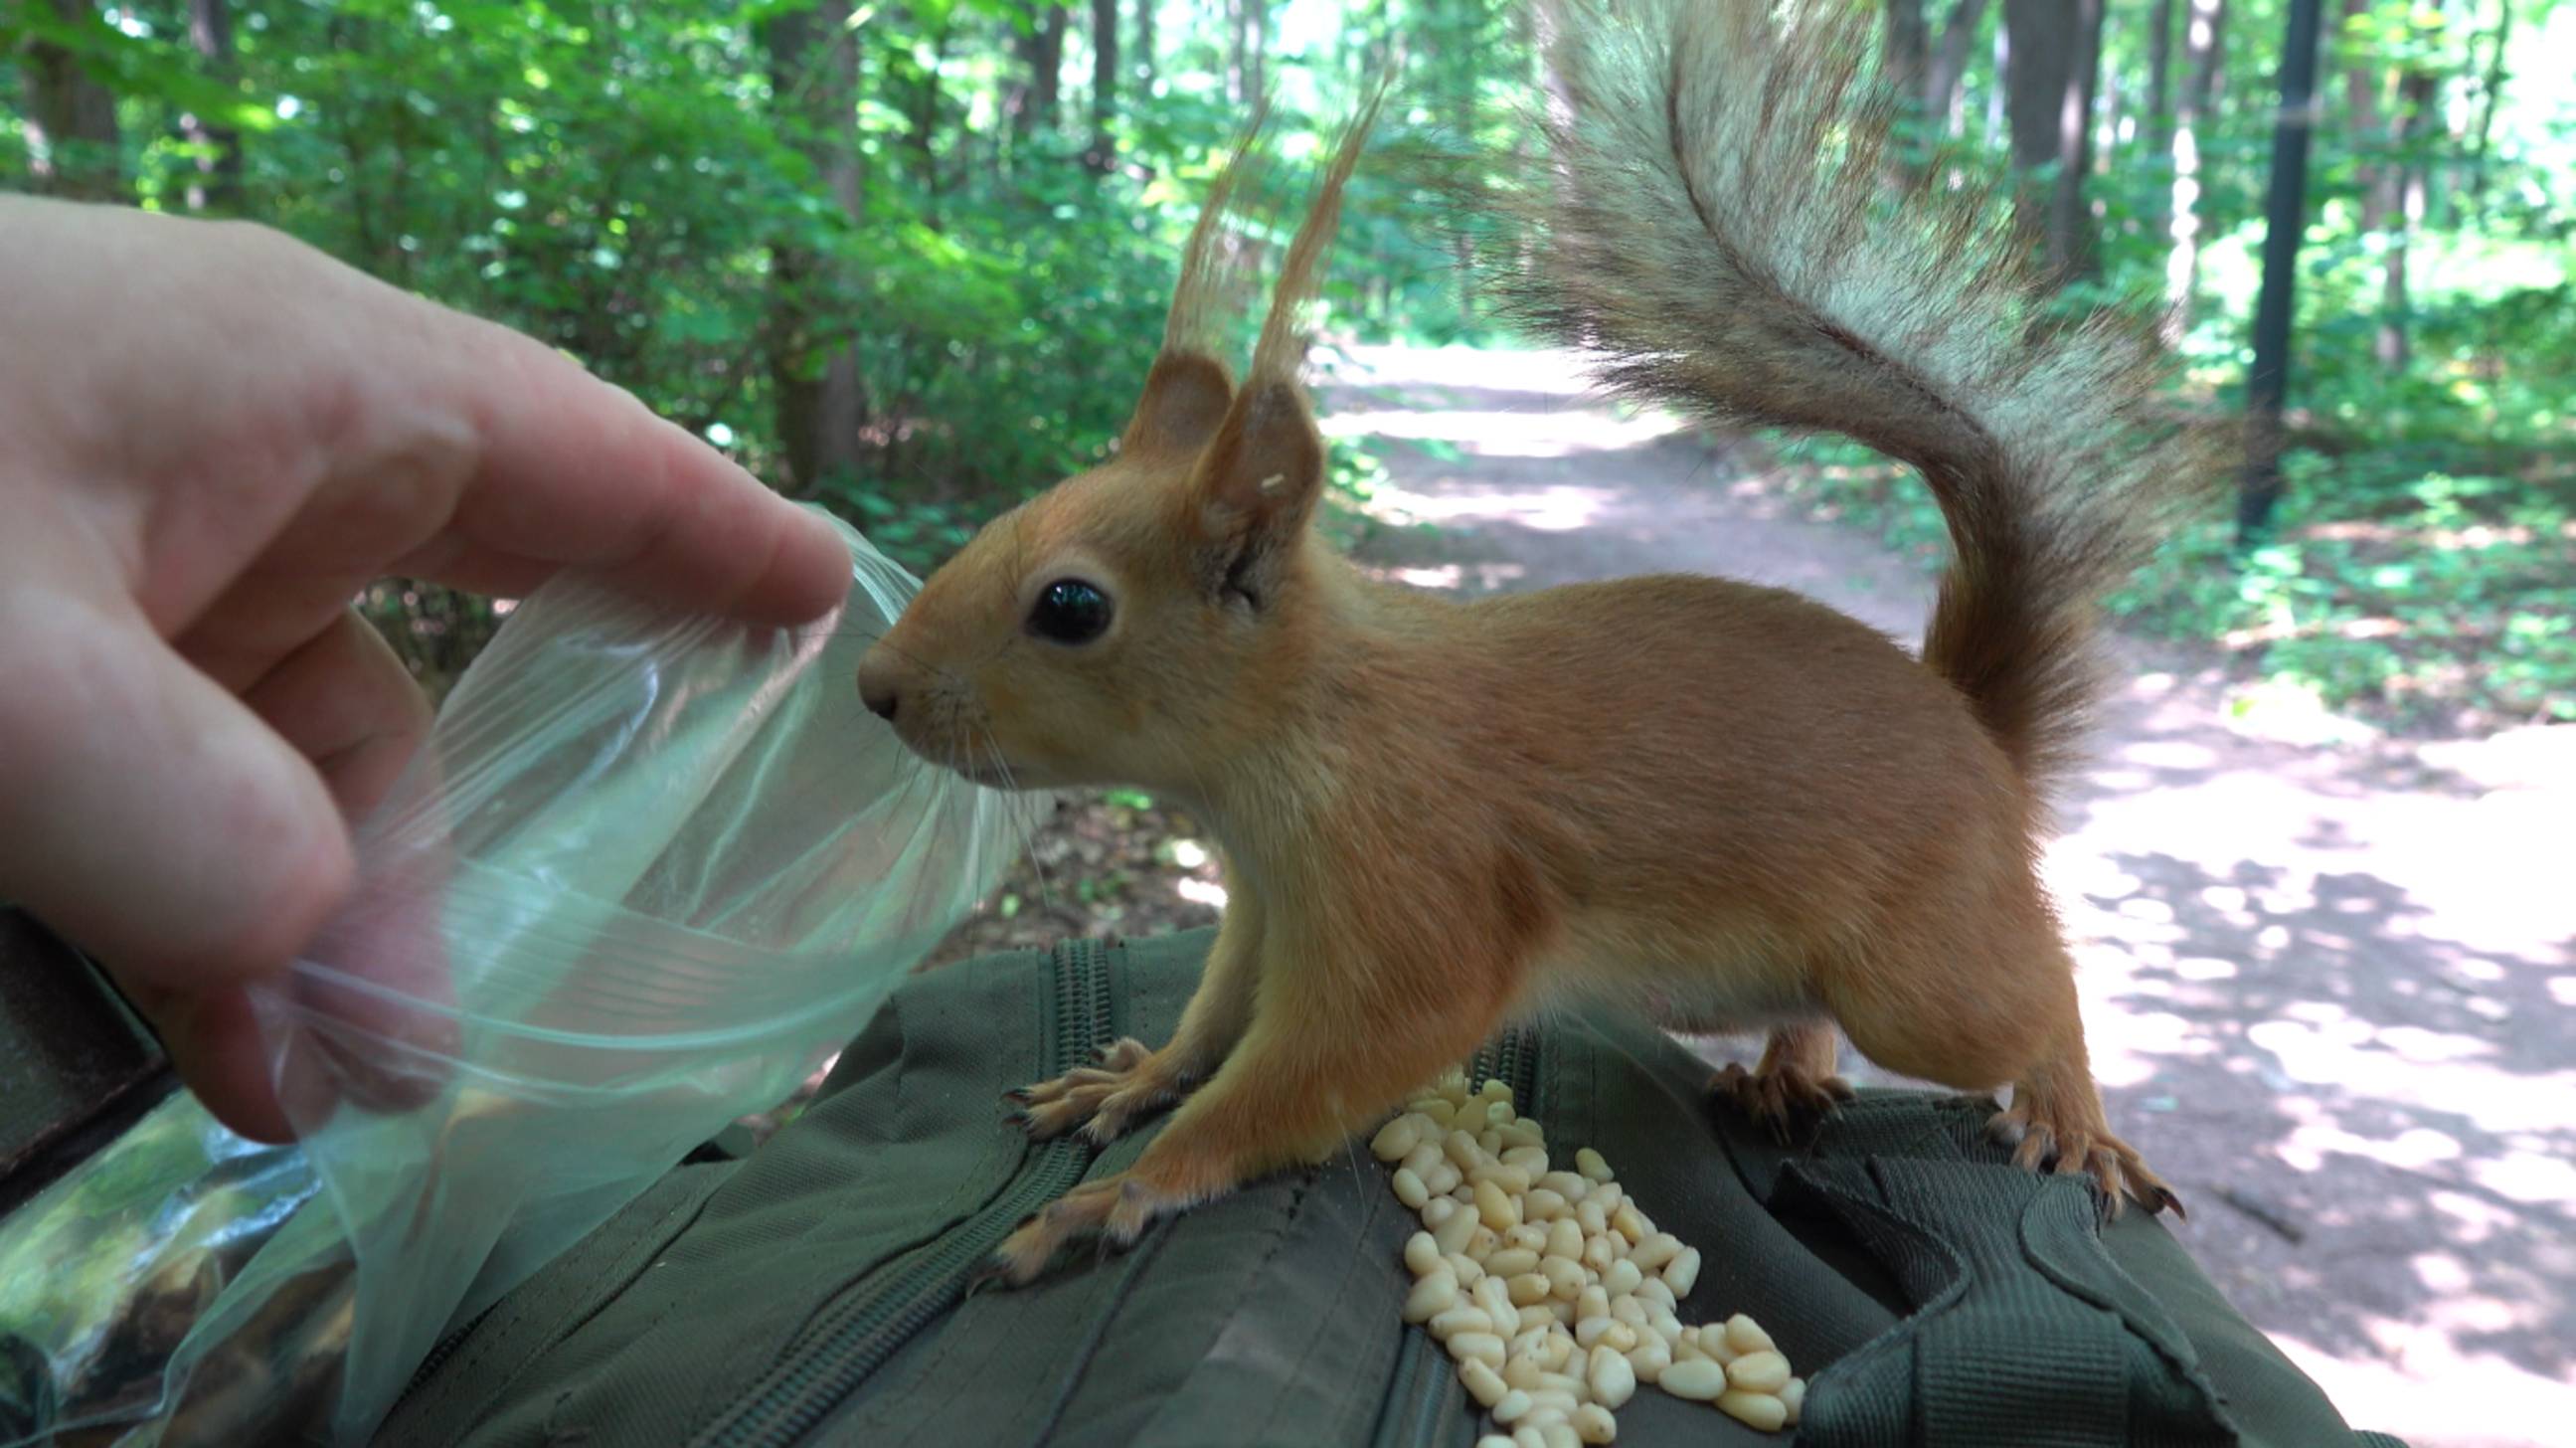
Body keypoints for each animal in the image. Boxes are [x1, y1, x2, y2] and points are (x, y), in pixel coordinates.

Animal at [857, 0, 2199, 1285]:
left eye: (1070, 608)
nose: (873, 688)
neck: (1296, 730)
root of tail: (1975, 731)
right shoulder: (1263, 904)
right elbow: (1213, 1017)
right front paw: (1132, 1078)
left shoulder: (1415, 887)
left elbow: (1325, 1064)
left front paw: (1126, 1190)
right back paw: (1785, 1066)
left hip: (1920, 978)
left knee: (2036, 993)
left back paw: (2071, 1115)